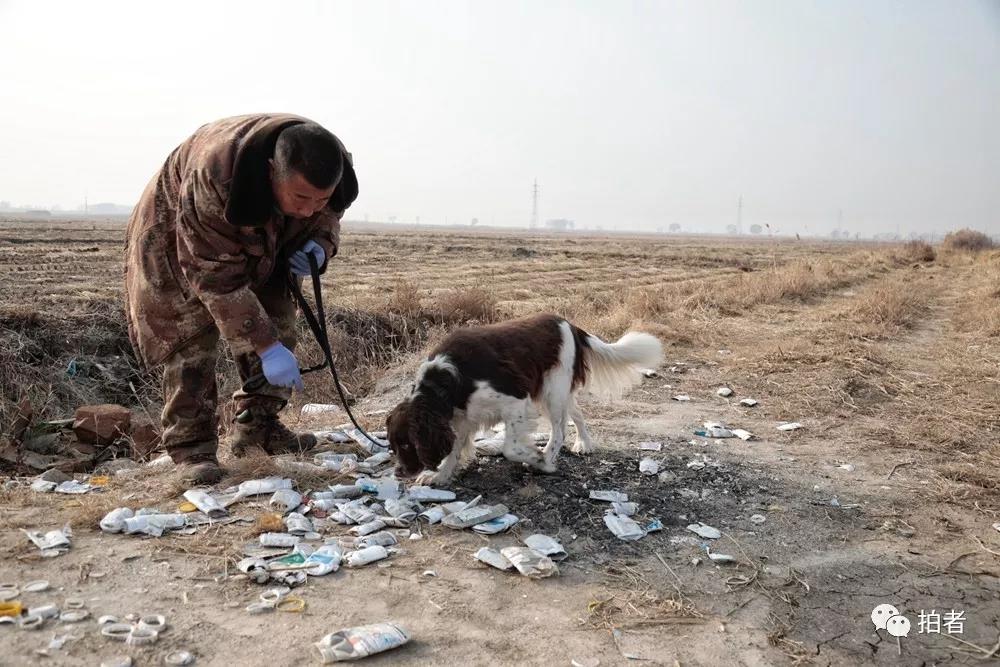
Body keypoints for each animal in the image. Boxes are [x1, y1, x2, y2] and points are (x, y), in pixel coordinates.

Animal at [386, 314, 660, 486]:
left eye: (408, 444)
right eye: (393, 445)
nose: (398, 472)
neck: (447, 380)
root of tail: (570, 325)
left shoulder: (515, 400)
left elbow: (510, 449)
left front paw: (538, 458)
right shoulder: (462, 417)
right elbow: (454, 449)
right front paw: (440, 476)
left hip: (552, 392)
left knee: (559, 430)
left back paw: (547, 458)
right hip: (556, 392)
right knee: (577, 414)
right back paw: (583, 443)